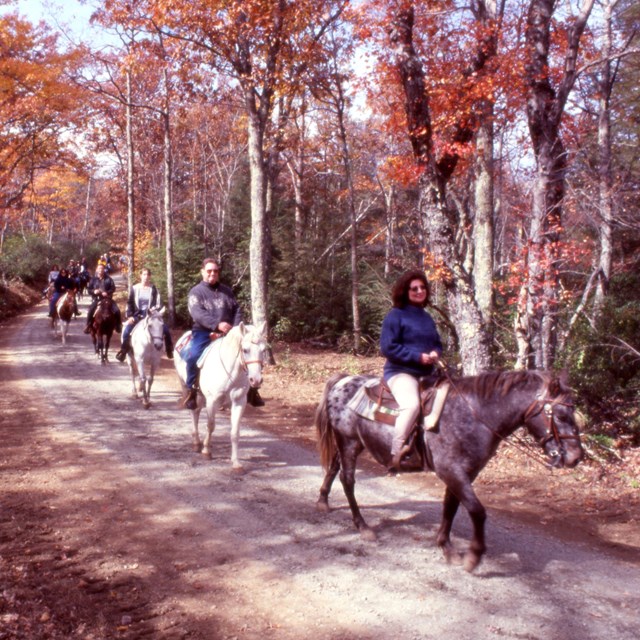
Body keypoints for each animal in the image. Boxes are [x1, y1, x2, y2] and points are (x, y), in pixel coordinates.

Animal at [172, 322, 268, 472]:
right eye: (245, 350)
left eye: (264, 350)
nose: (256, 380)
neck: (231, 371)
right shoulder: (212, 401)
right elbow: (211, 426)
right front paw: (207, 451)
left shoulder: (239, 402)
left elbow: (235, 432)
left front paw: (236, 462)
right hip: (186, 387)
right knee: (194, 412)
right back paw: (197, 443)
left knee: (197, 411)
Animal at [316, 368, 584, 572]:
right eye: (561, 415)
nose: (576, 457)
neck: (474, 415)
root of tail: (343, 381)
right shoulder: (451, 472)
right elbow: (477, 511)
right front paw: (473, 556)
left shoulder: (462, 474)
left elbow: (450, 507)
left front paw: (446, 547)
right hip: (349, 442)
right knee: (348, 480)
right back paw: (363, 527)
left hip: (350, 443)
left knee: (333, 467)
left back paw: (323, 500)